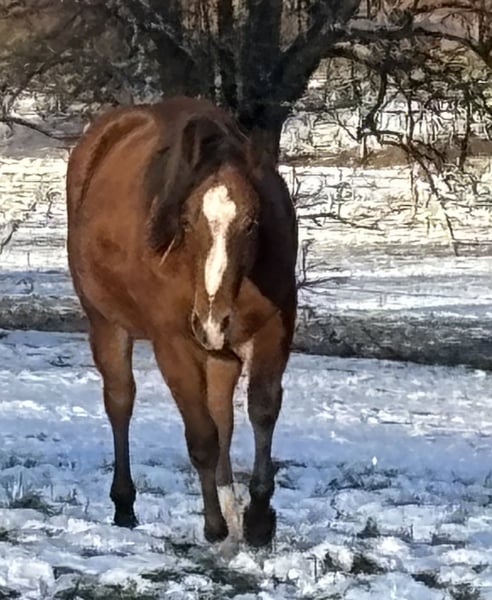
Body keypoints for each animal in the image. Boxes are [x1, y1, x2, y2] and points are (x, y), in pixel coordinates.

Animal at [66, 96, 297, 547]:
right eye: (187, 221)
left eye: (252, 222)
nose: (211, 318)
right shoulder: (173, 343)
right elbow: (202, 436)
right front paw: (214, 525)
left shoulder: (274, 328)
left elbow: (260, 411)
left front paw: (259, 519)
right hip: (106, 324)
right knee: (121, 402)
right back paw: (125, 505)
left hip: (221, 351)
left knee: (223, 415)